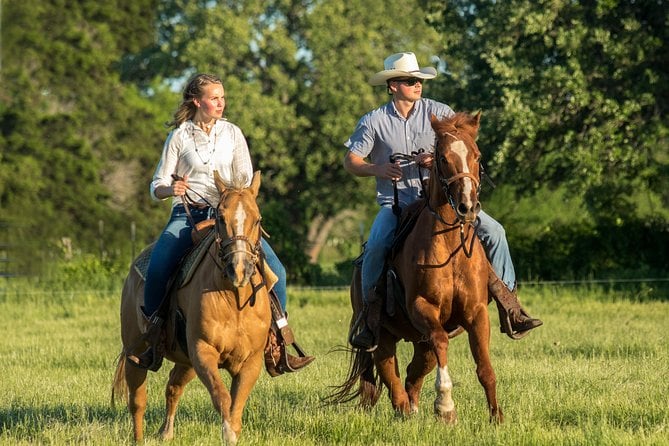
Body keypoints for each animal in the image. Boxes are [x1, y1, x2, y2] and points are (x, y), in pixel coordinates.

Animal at [112, 170, 272, 442]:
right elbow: (222, 398)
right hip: (136, 350)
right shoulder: (202, 351)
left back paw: (166, 433)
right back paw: (139, 439)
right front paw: (227, 434)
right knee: (138, 401)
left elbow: (236, 408)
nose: (239, 269)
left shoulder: (250, 361)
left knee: (173, 387)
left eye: (258, 219)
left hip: (184, 361)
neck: (234, 300)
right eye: (220, 218)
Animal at [328, 111, 500, 426]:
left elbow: (484, 366)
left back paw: (414, 408)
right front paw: (445, 407)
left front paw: (496, 416)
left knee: (414, 370)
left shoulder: (476, 312)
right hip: (381, 333)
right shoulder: (423, 307)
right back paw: (405, 410)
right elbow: (441, 343)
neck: (450, 247)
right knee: (390, 371)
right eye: (443, 157)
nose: (468, 207)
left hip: (419, 339)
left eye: (477, 156)